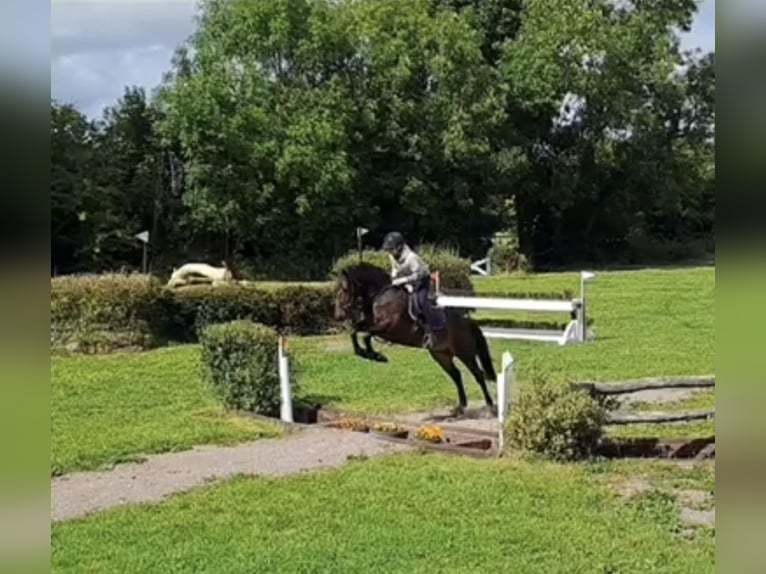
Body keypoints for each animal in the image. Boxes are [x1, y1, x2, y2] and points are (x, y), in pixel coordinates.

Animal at [336, 264, 498, 416]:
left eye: (344, 290)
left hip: (465, 354)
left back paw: (490, 407)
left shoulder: (387, 328)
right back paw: (460, 407)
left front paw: (377, 356)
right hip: (441, 355)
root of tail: (467, 322)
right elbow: (354, 332)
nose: (338, 316)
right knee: (456, 375)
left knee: (478, 375)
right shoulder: (369, 324)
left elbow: (365, 336)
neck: (381, 296)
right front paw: (365, 353)